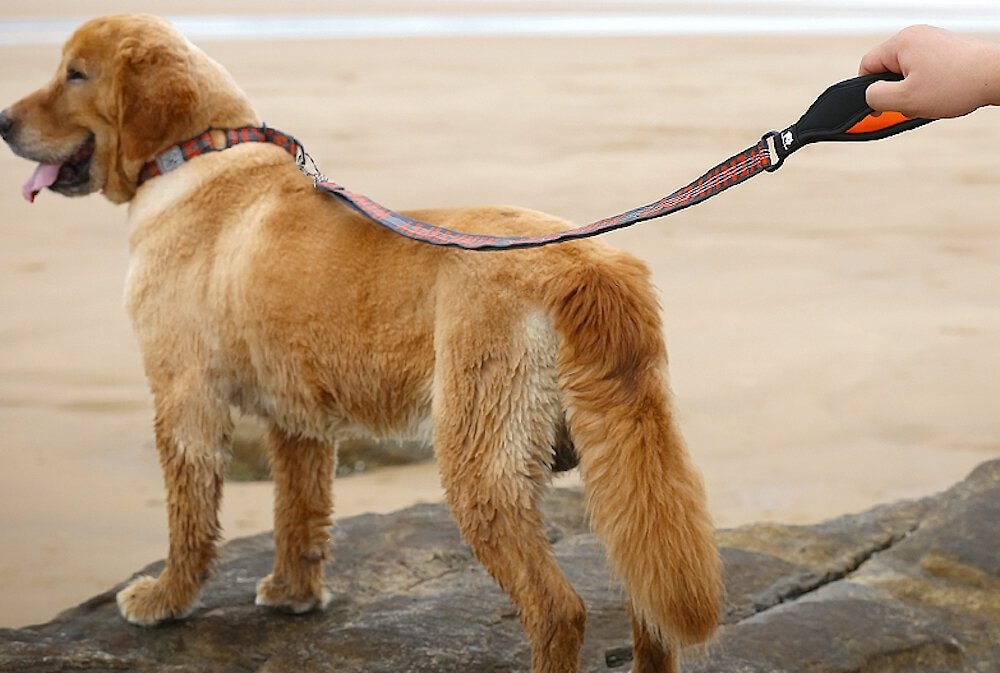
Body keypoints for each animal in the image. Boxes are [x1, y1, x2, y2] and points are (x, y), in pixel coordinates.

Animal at [0, 14, 721, 673]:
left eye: (75, 73)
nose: (3, 121)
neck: (201, 155)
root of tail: (586, 265)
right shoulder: (298, 419)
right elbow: (299, 510)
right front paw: (294, 593)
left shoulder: (184, 399)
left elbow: (190, 518)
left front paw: (166, 599)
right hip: (622, 451)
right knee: (648, 608)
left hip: (483, 460)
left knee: (557, 610)